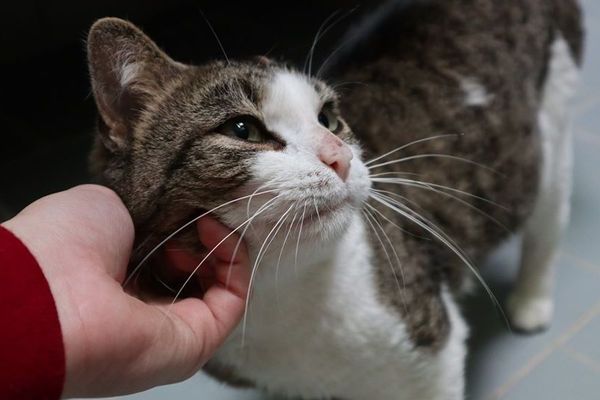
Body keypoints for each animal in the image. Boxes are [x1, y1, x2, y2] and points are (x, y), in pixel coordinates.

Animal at [84, 1, 580, 398]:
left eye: (328, 118)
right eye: (242, 129)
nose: (340, 156)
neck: (283, 294)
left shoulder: (434, 352)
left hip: (552, 124)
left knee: (549, 218)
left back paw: (531, 302)